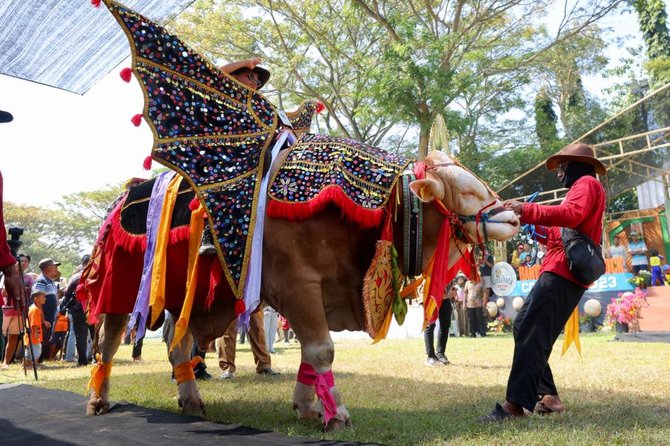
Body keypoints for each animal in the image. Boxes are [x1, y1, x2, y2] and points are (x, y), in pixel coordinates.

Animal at [81, 1, 524, 430]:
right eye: (467, 190)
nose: (514, 217)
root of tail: (119, 202)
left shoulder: (323, 292)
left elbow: (311, 356)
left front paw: (308, 407)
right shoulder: (298, 285)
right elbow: (321, 349)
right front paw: (336, 412)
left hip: (191, 294)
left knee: (178, 339)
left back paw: (190, 398)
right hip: (120, 286)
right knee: (109, 339)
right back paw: (98, 399)